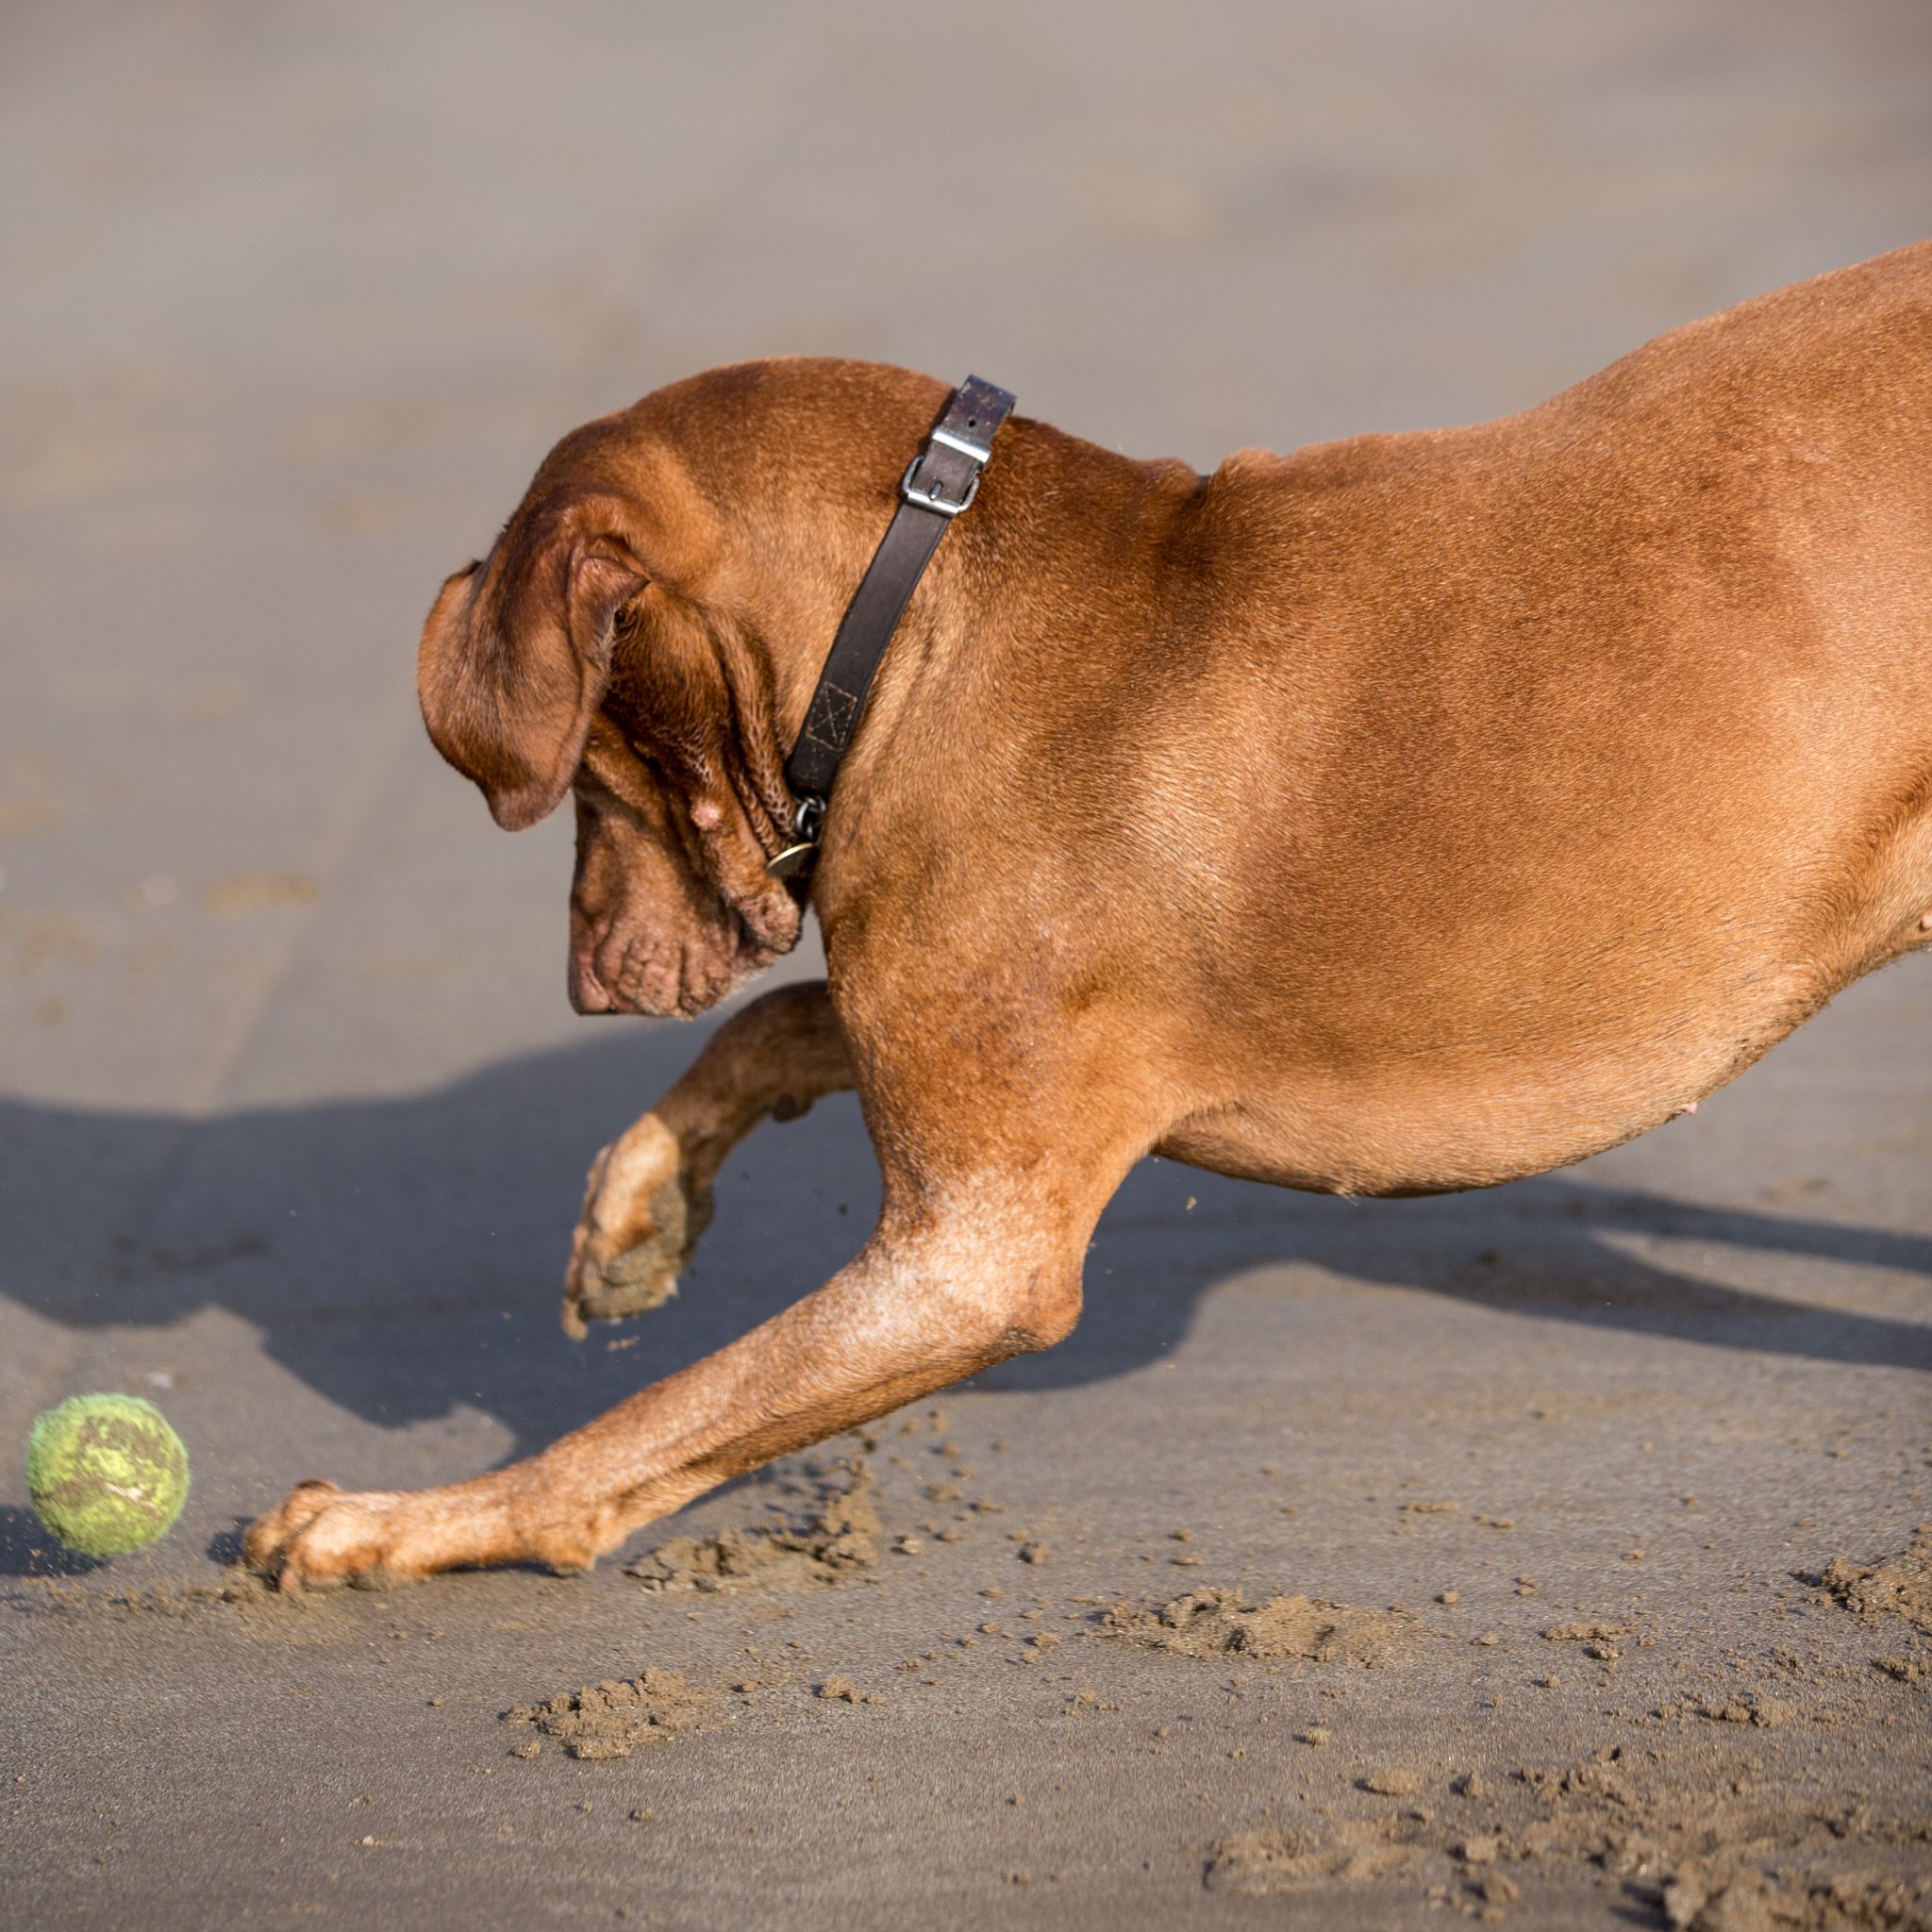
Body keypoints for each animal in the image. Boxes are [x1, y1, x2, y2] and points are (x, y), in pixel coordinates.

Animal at [245, 245, 1932, 1584]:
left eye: (590, 768)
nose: (589, 981)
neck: (918, 616)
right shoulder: (963, 1055)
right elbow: (782, 1021)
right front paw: (639, 1203)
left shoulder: (972, 1256)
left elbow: (639, 1429)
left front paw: (406, 1520)